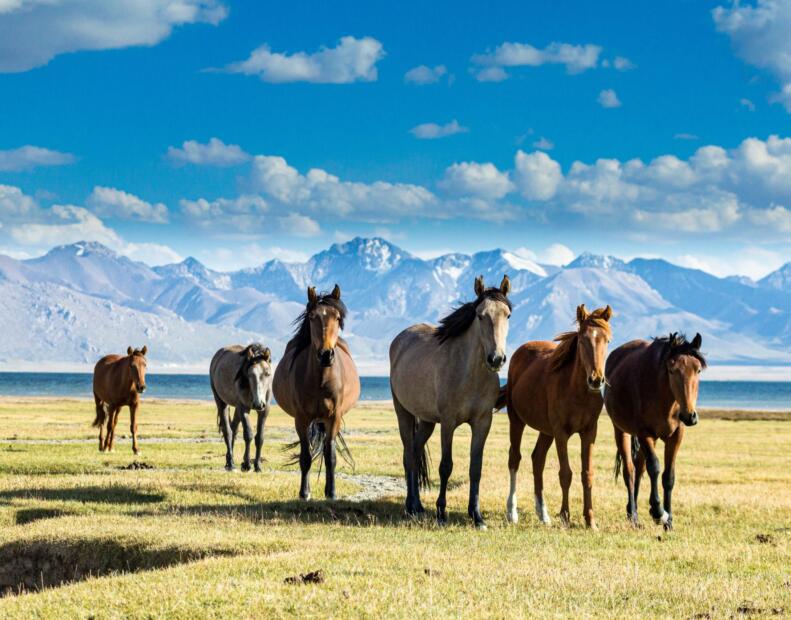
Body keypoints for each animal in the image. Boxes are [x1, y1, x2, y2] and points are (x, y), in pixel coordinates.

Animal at [270, 284, 360, 498]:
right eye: (312, 317)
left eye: (337, 317)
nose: (326, 355)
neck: (321, 381)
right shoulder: (301, 419)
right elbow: (306, 457)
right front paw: (304, 493)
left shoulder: (333, 418)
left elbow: (330, 456)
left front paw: (332, 492)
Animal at [390, 274, 512, 528]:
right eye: (480, 315)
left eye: (507, 315)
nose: (496, 359)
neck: (469, 374)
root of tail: (400, 339)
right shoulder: (448, 423)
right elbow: (446, 466)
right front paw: (441, 512)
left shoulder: (483, 423)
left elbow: (476, 468)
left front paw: (476, 515)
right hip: (403, 413)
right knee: (408, 456)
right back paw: (410, 506)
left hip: (426, 421)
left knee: (415, 453)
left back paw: (418, 506)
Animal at [502, 306, 612, 528]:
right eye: (582, 340)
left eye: (607, 340)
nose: (596, 379)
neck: (577, 390)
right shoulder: (561, 433)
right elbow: (565, 474)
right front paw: (565, 516)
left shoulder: (590, 432)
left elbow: (587, 474)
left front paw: (590, 519)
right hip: (516, 421)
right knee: (514, 458)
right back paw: (512, 512)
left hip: (546, 431)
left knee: (537, 460)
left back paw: (543, 514)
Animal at [604, 332, 708, 532]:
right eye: (672, 370)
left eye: (698, 370)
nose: (690, 416)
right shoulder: (645, 433)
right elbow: (655, 467)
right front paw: (658, 512)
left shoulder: (675, 436)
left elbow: (668, 477)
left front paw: (669, 521)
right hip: (621, 431)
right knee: (630, 471)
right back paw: (634, 516)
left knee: (639, 468)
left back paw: (632, 512)